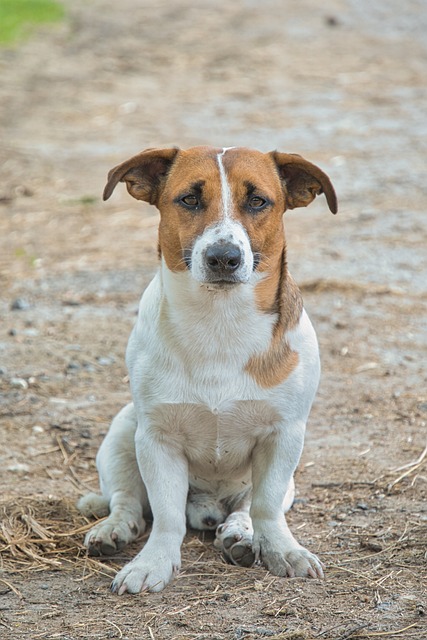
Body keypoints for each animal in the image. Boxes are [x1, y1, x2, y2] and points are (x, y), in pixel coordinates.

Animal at [77, 145, 338, 596]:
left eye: (258, 201)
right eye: (189, 199)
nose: (223, 258)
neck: (220, 320)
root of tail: (208, 505)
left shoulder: (284, 435)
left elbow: (266, 506)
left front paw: (282, 550)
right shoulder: (157, 439)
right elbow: (165, 516)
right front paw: (153, 563)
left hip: (283, 479)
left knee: (247, 507)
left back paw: (240, 534)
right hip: (123, 433)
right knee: (127, 499)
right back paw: (113, 529)